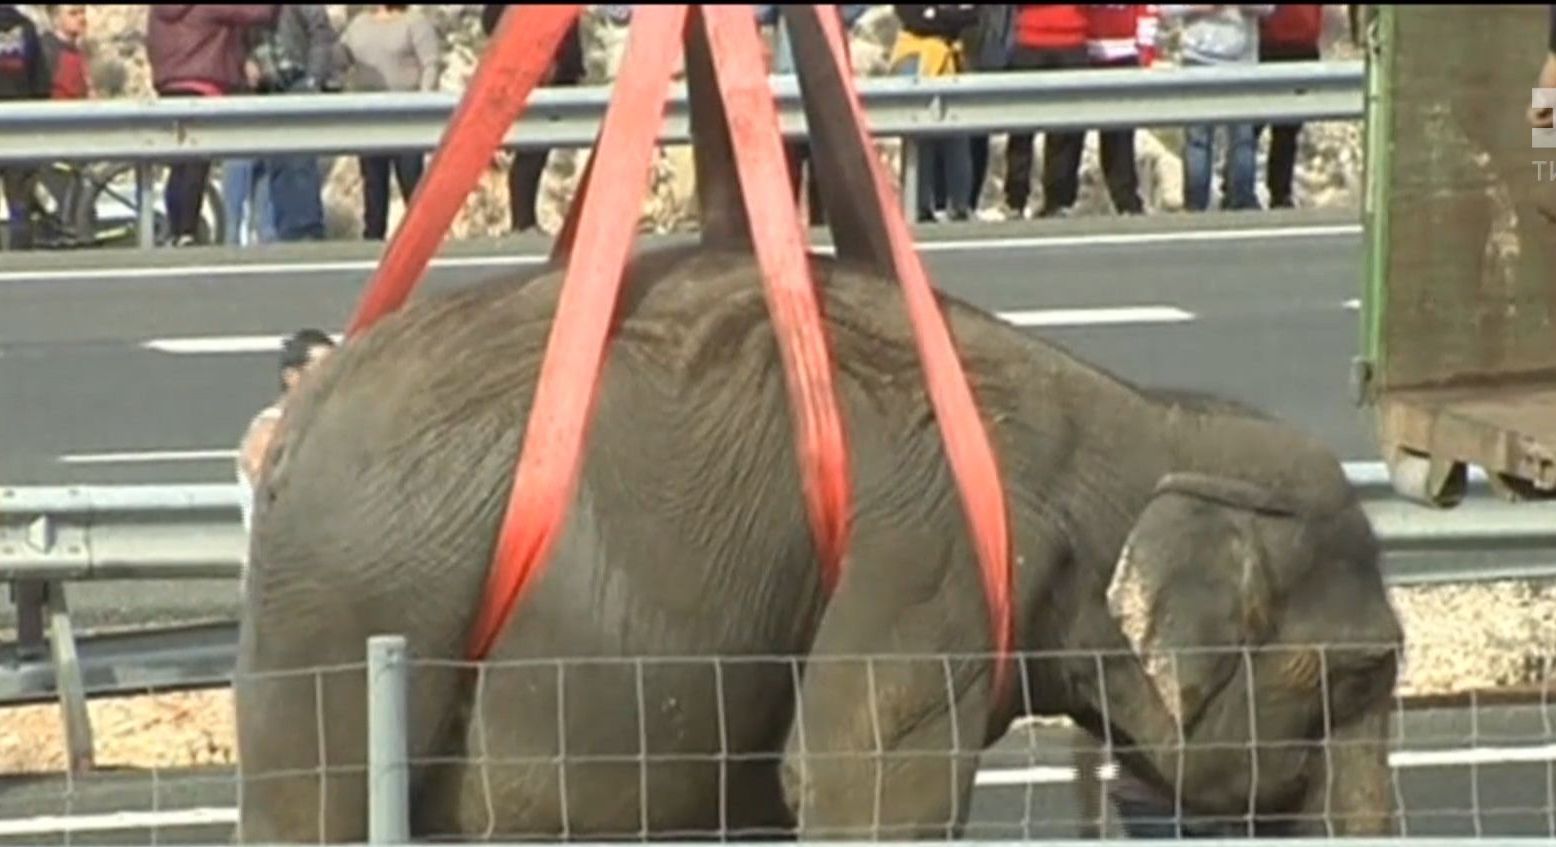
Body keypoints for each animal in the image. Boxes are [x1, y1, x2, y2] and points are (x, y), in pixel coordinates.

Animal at [233, 241, 1412, 840]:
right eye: (1359, 674)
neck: (1139, 415)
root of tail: (296, 414)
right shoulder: (928, 565)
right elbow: (865, 783)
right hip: (354, 599)